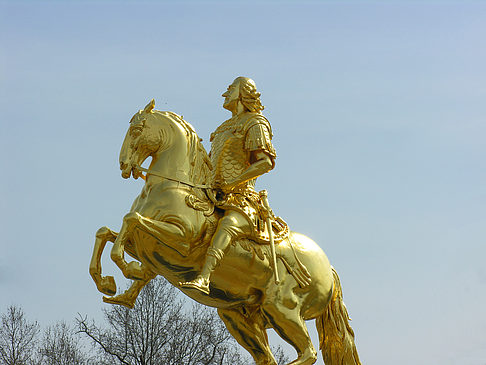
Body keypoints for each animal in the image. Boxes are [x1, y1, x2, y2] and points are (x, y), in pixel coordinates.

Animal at [88, 100, 360, 364]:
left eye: (136, 130)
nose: (124, 165)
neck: (173, 187)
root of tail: (328, 269)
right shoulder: (145, 245)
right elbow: (106, 232)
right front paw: (108, 283)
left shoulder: (181, 241)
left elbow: (130, 220)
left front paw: (127, 268)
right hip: (238, 317)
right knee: (269, 358)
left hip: (282, 309)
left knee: (307, 353)